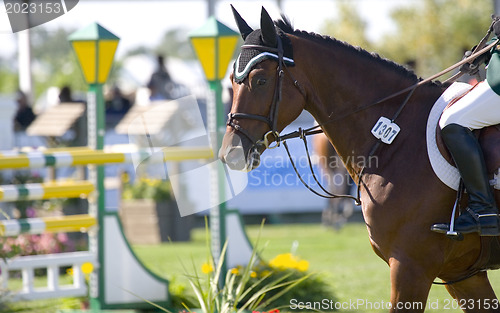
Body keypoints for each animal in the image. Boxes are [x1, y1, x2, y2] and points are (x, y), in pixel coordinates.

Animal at [221, 6, 500, 310]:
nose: (230, 153)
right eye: (232, 83)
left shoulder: (411, 267)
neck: (397, 138)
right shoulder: (462, 275)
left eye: (260, 80)